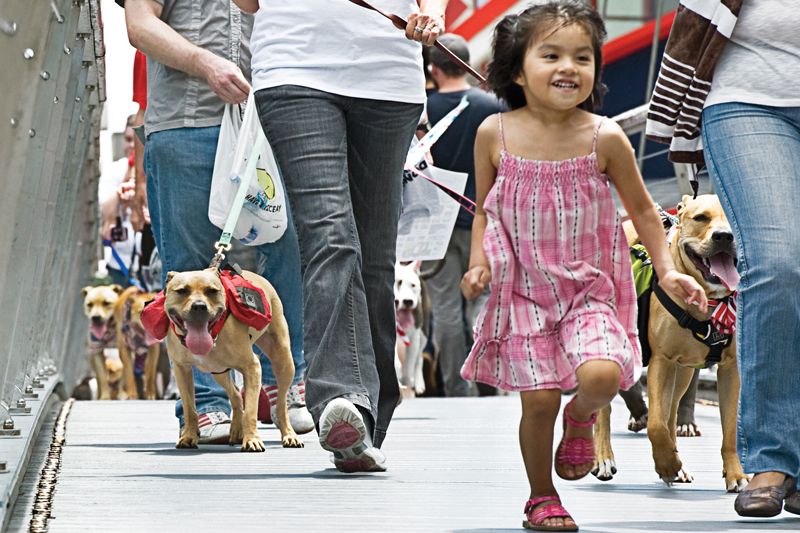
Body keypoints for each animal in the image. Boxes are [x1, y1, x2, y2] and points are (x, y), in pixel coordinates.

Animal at [394, 262, 432, 394]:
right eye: (398, 282)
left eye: (413, 285)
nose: (408, 301)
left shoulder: (414, 339)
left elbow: (410, 363)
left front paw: (407, 381)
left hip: (424, 334)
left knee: (419, 357)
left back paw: (418, 382)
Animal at [592, 194, 752, 490]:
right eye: (701, 218)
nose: (724, 236)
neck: (707, 299)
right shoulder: (662, 362)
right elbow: (656, 425)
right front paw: (666, 464)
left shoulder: (729, 369)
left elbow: (729, 431)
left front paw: (736, 475)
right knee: (606, 409)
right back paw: (604, 459)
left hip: (684, 372)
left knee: (671, 412)